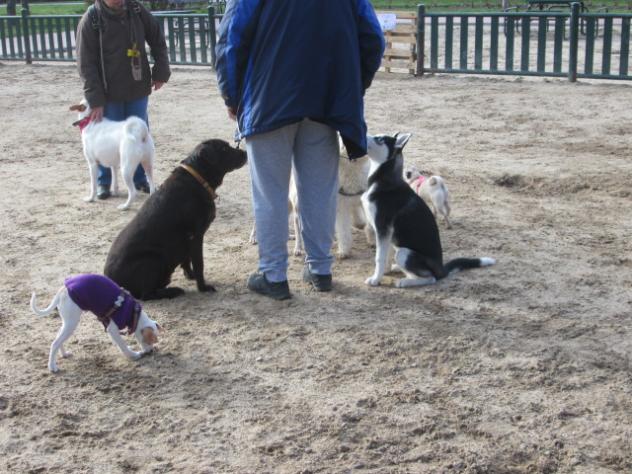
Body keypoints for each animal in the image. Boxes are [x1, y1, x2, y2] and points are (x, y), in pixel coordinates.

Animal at [30, 274, 162, 374]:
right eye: (149, 340)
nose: (151, 352)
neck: (134, 314)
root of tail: (63, 289)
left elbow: (120, 344)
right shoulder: (112, 330)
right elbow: (122, 345)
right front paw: (133, 355)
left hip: (67, 322)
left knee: (58, 338)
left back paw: (64, 354)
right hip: (72, 323)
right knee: (55, 343)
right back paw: (52, 367)